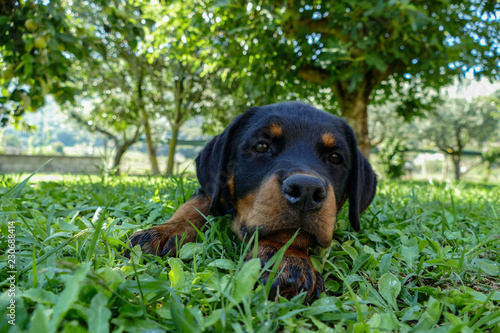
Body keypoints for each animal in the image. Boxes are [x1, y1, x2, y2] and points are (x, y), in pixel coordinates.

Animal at [127, 101, 376, 300]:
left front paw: (286, 257)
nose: (306, 190)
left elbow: (288, 235)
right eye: (262, 146)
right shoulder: (213, 189)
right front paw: (167, 230)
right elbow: (193, 206)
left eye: (335, 158)